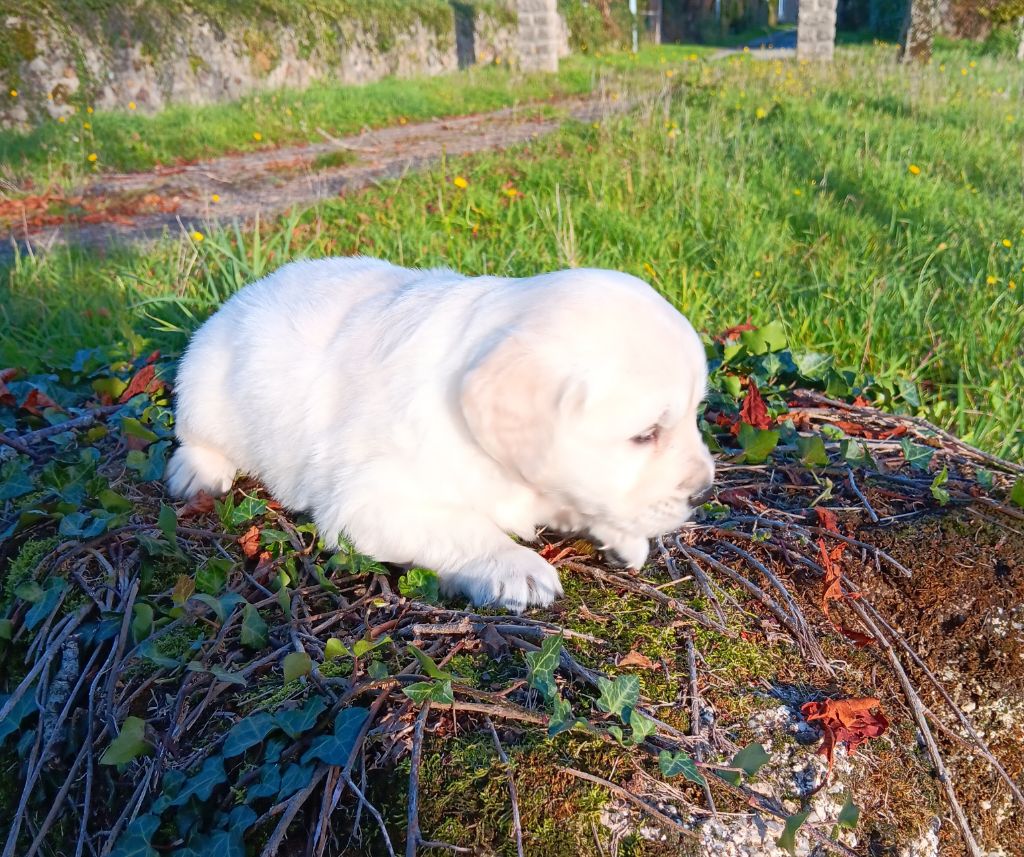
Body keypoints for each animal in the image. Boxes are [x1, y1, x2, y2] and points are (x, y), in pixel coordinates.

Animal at [165, 256, 712, 610]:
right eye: (645, 434)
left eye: (693, 414)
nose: (705, 491)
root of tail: (247, 291)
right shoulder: (366, 504)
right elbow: (465, 526)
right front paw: (517, 566)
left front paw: (624, 536)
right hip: (203, 384)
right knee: (197, 437)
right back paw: (195, 473)